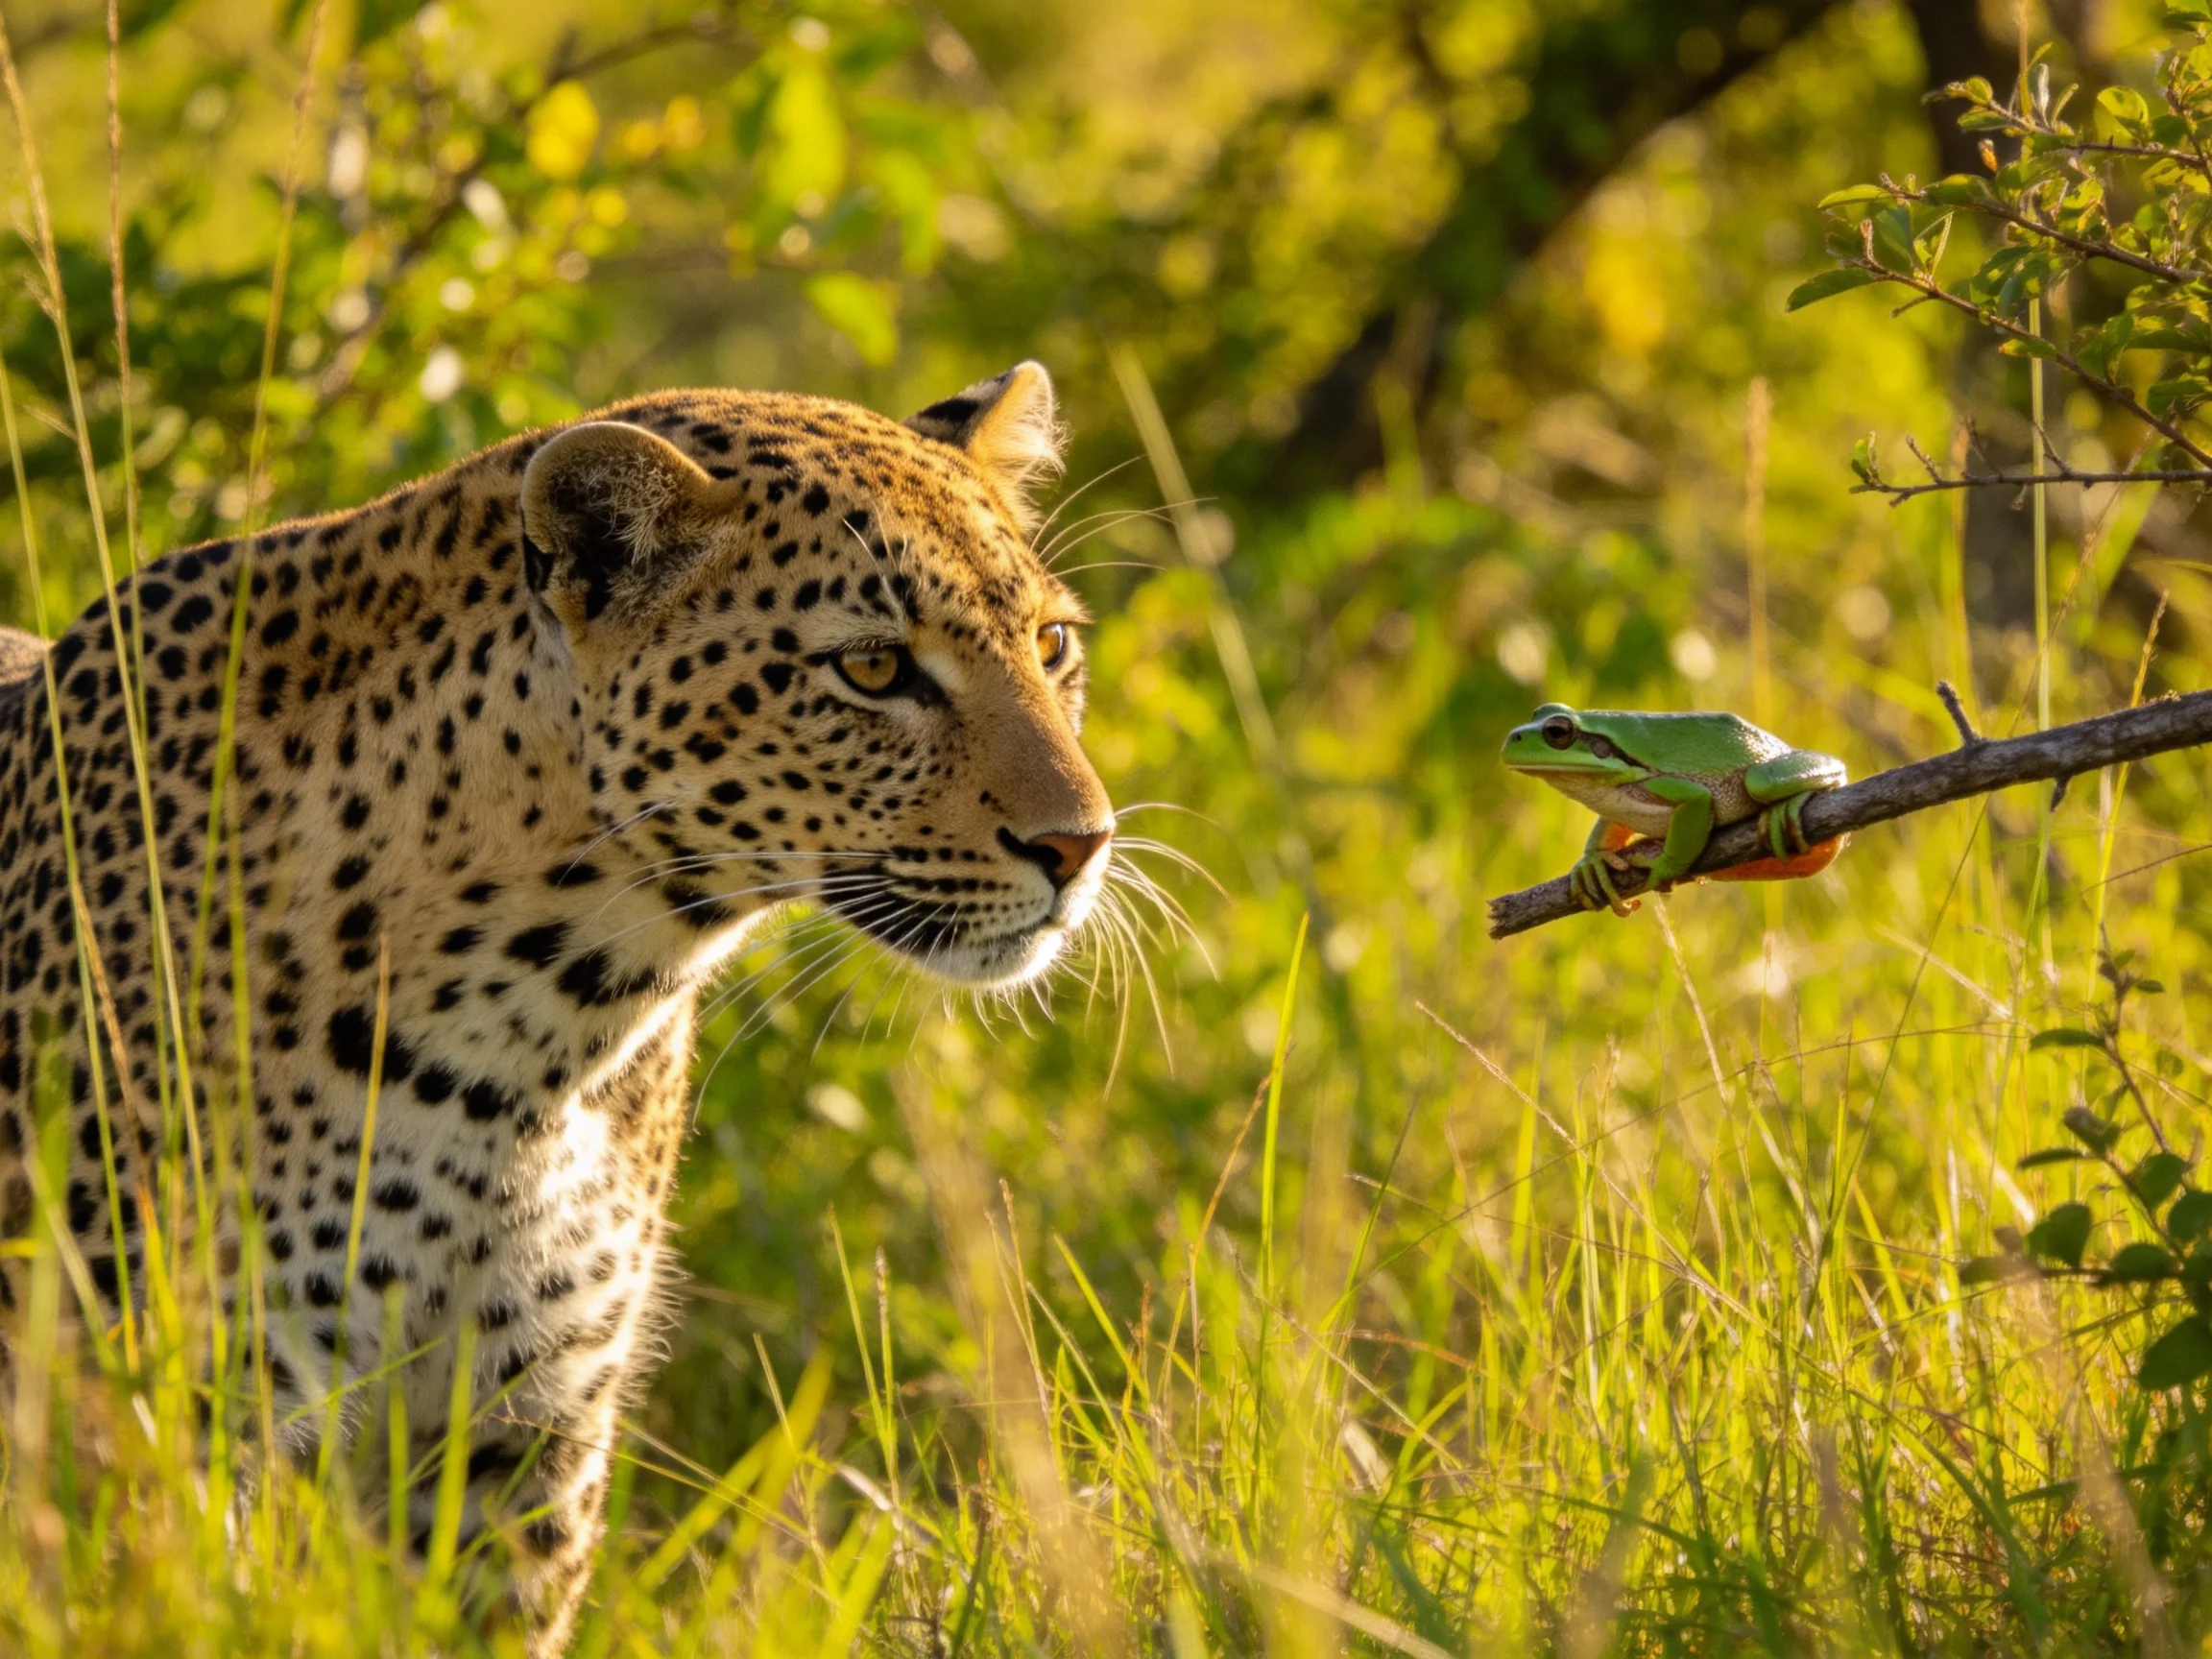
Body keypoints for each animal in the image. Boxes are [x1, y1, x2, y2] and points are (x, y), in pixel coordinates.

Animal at [0, 362, 1116, 1651]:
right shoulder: (142, 1410)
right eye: (875, 669)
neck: (520, 1037)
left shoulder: (522, 1435)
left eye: (1051, 644)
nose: (1081, 845)